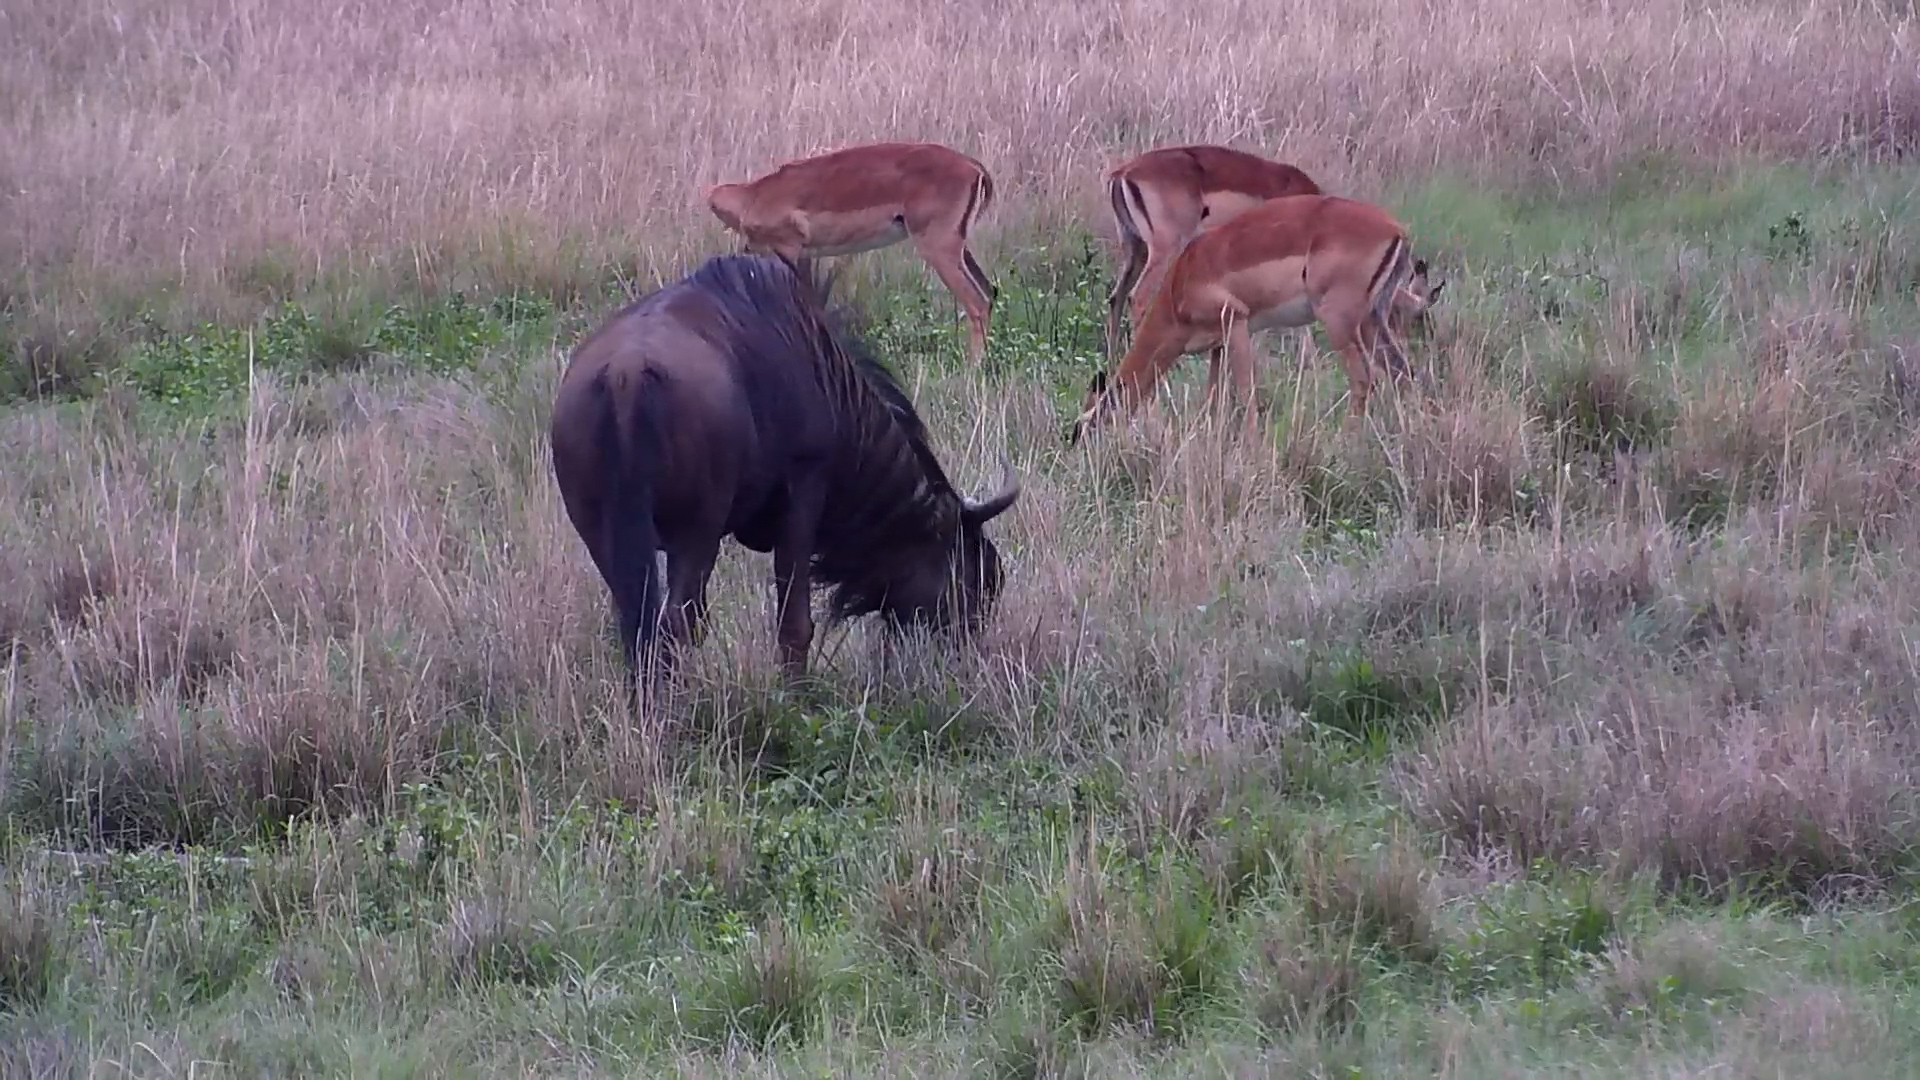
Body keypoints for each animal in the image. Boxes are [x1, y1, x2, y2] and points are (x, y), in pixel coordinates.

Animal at [703, 142, 999, 363]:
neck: (752, 197)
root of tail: (975, 167)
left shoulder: (789, 248)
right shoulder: (804, 255)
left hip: (938, 248)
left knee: (977, 302)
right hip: (958, 248)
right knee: (989, 292)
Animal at [1071, 194, 1444, 444]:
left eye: (1086, 426)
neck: (1180, 284)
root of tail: (1396, 230)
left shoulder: (1235, 322)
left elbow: (1245, 389)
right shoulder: (1217, 344)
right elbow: (1214, 394)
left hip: (1339, 321)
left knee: (1365, 377)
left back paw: (1344, 441)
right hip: (1372, 321)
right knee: (1404, 372)